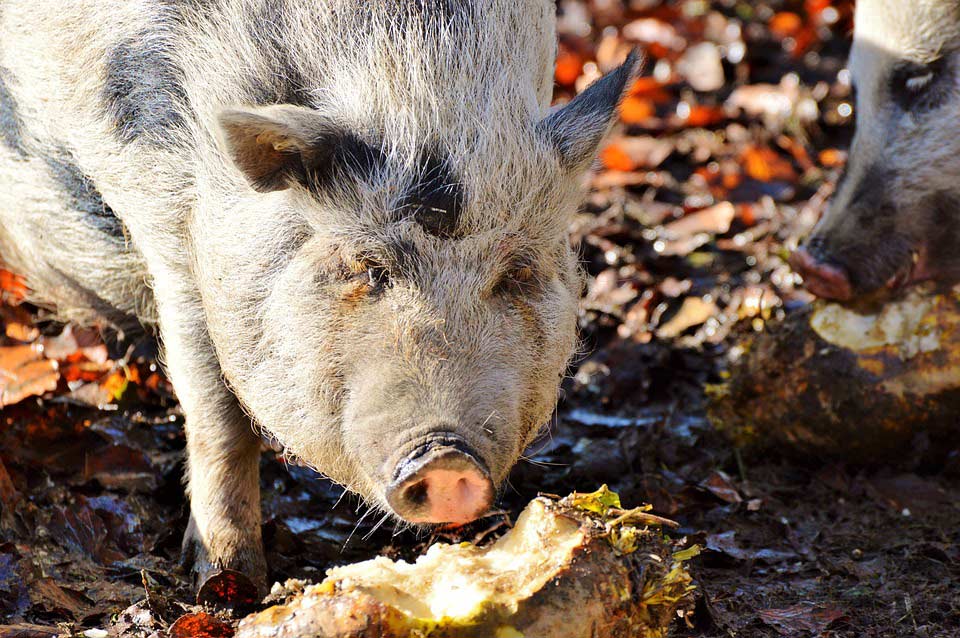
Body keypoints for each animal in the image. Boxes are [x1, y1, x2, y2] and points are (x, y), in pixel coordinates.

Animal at [1, 1, 644, 592]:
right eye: (367, 267)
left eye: (516, 272)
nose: (445, 457)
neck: (412, 67)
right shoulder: (169, 233)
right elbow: (215, 411)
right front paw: (229, 582)